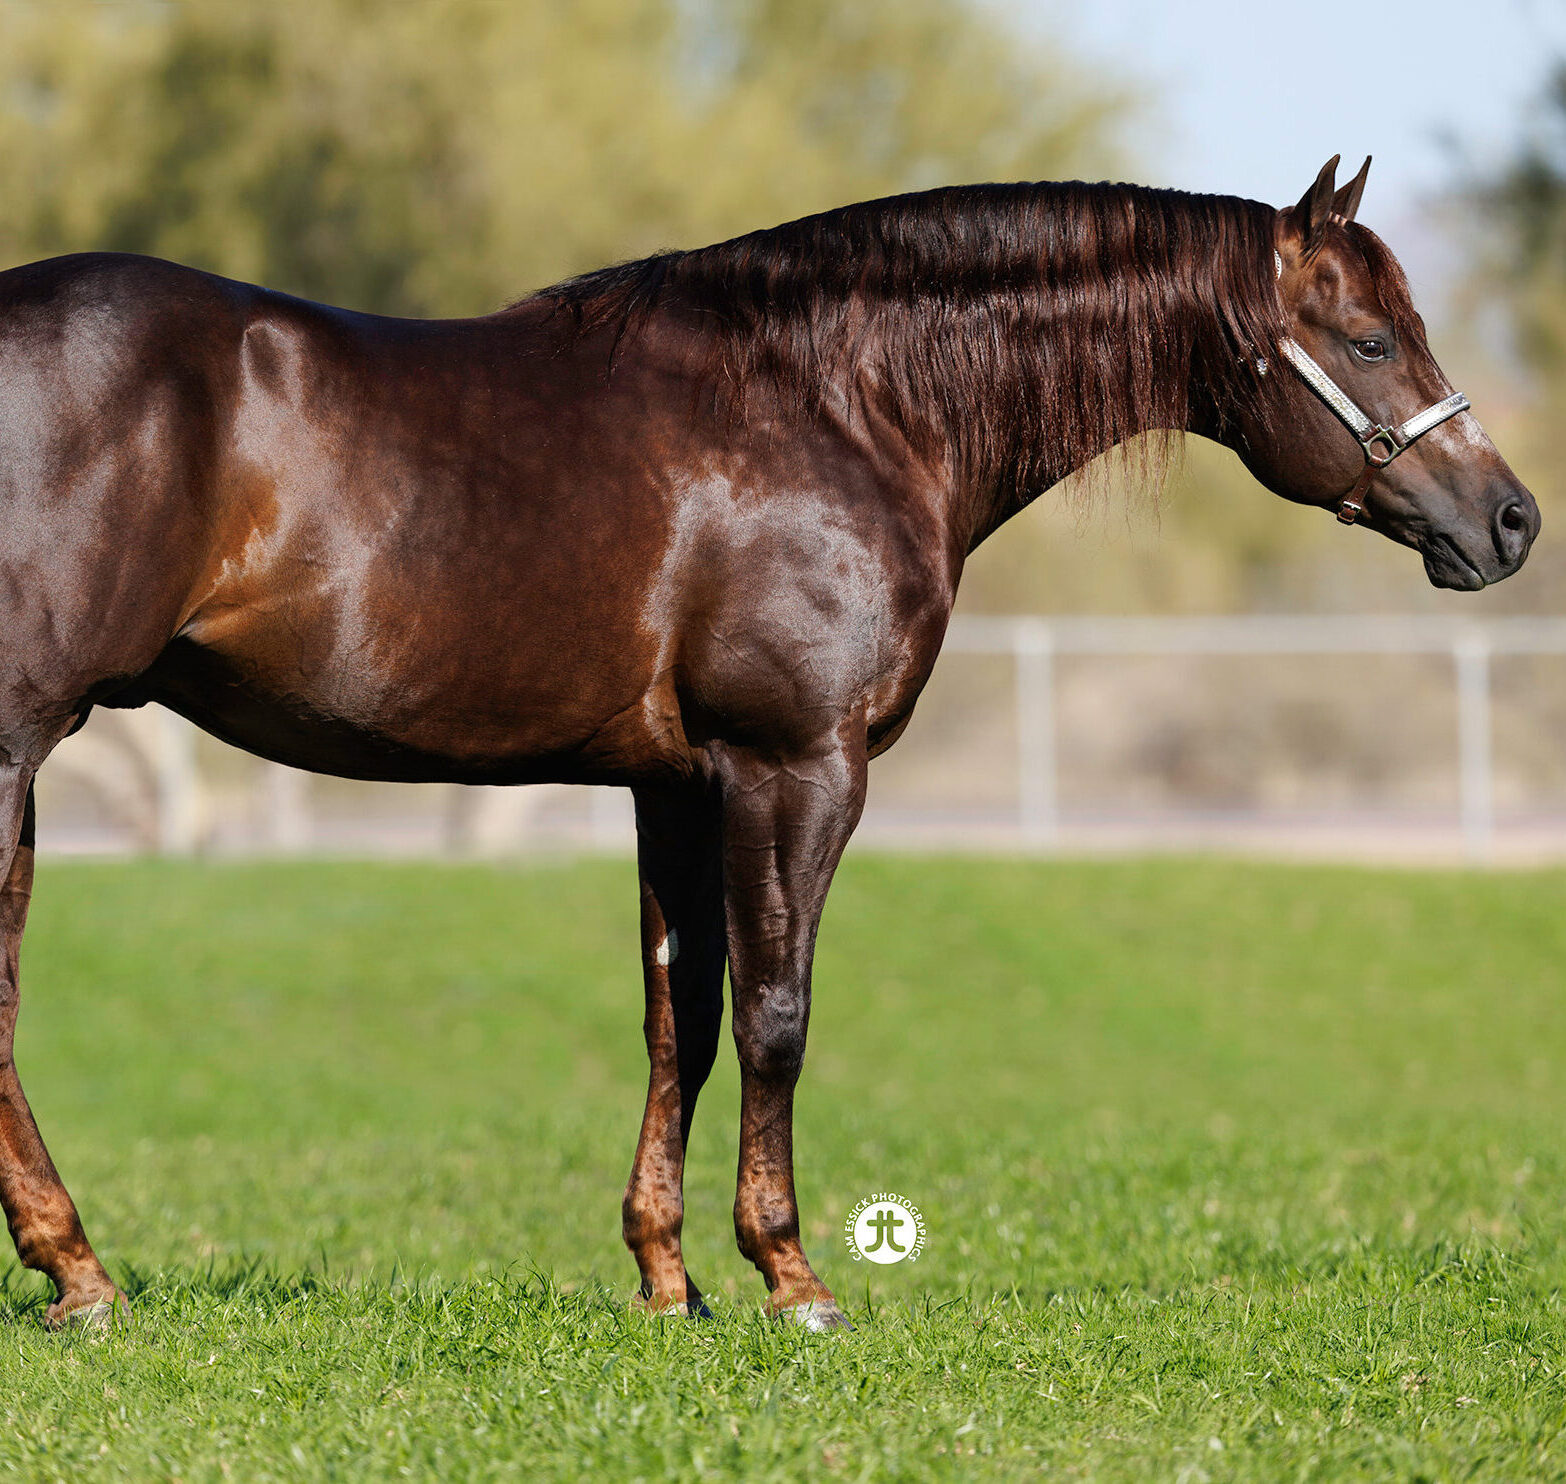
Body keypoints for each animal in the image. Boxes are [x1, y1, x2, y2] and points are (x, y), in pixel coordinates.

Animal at [0, 155, 1537, 1329]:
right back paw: (79, 1274)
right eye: (1367, 339)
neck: (844, 406)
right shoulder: (794, 764)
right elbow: (776, 1014)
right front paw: (791, 1275)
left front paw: (666, 1280)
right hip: (19, 746)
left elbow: (676, 1017)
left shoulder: (673, 786)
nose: (1511, 519)